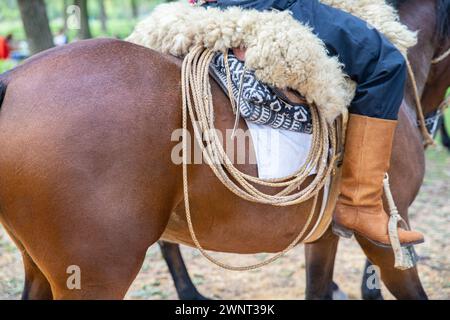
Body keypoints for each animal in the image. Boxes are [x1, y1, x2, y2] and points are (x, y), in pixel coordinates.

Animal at [0, 0, 448, 300]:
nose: (433, 126)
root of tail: (14, 79)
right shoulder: (386, 240)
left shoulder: (323, 236)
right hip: (96, 273)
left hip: (40, 268)